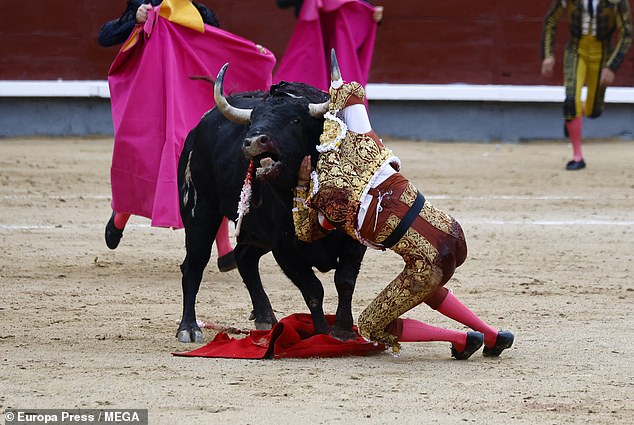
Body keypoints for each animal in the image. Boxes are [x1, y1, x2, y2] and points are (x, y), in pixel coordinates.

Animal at [177, 70, 366, 342]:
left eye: (295, 120)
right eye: (252, 121)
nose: (254, 141)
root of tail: (198, 128)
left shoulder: (356, 239)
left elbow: (345, 280)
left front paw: (342, 332)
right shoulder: (285, 248)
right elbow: (313, 290)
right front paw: (321, 334)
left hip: (255, 233)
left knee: (244, 257)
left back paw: (265, 317)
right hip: (200, 211)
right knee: (194, 264)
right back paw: (189, 327)